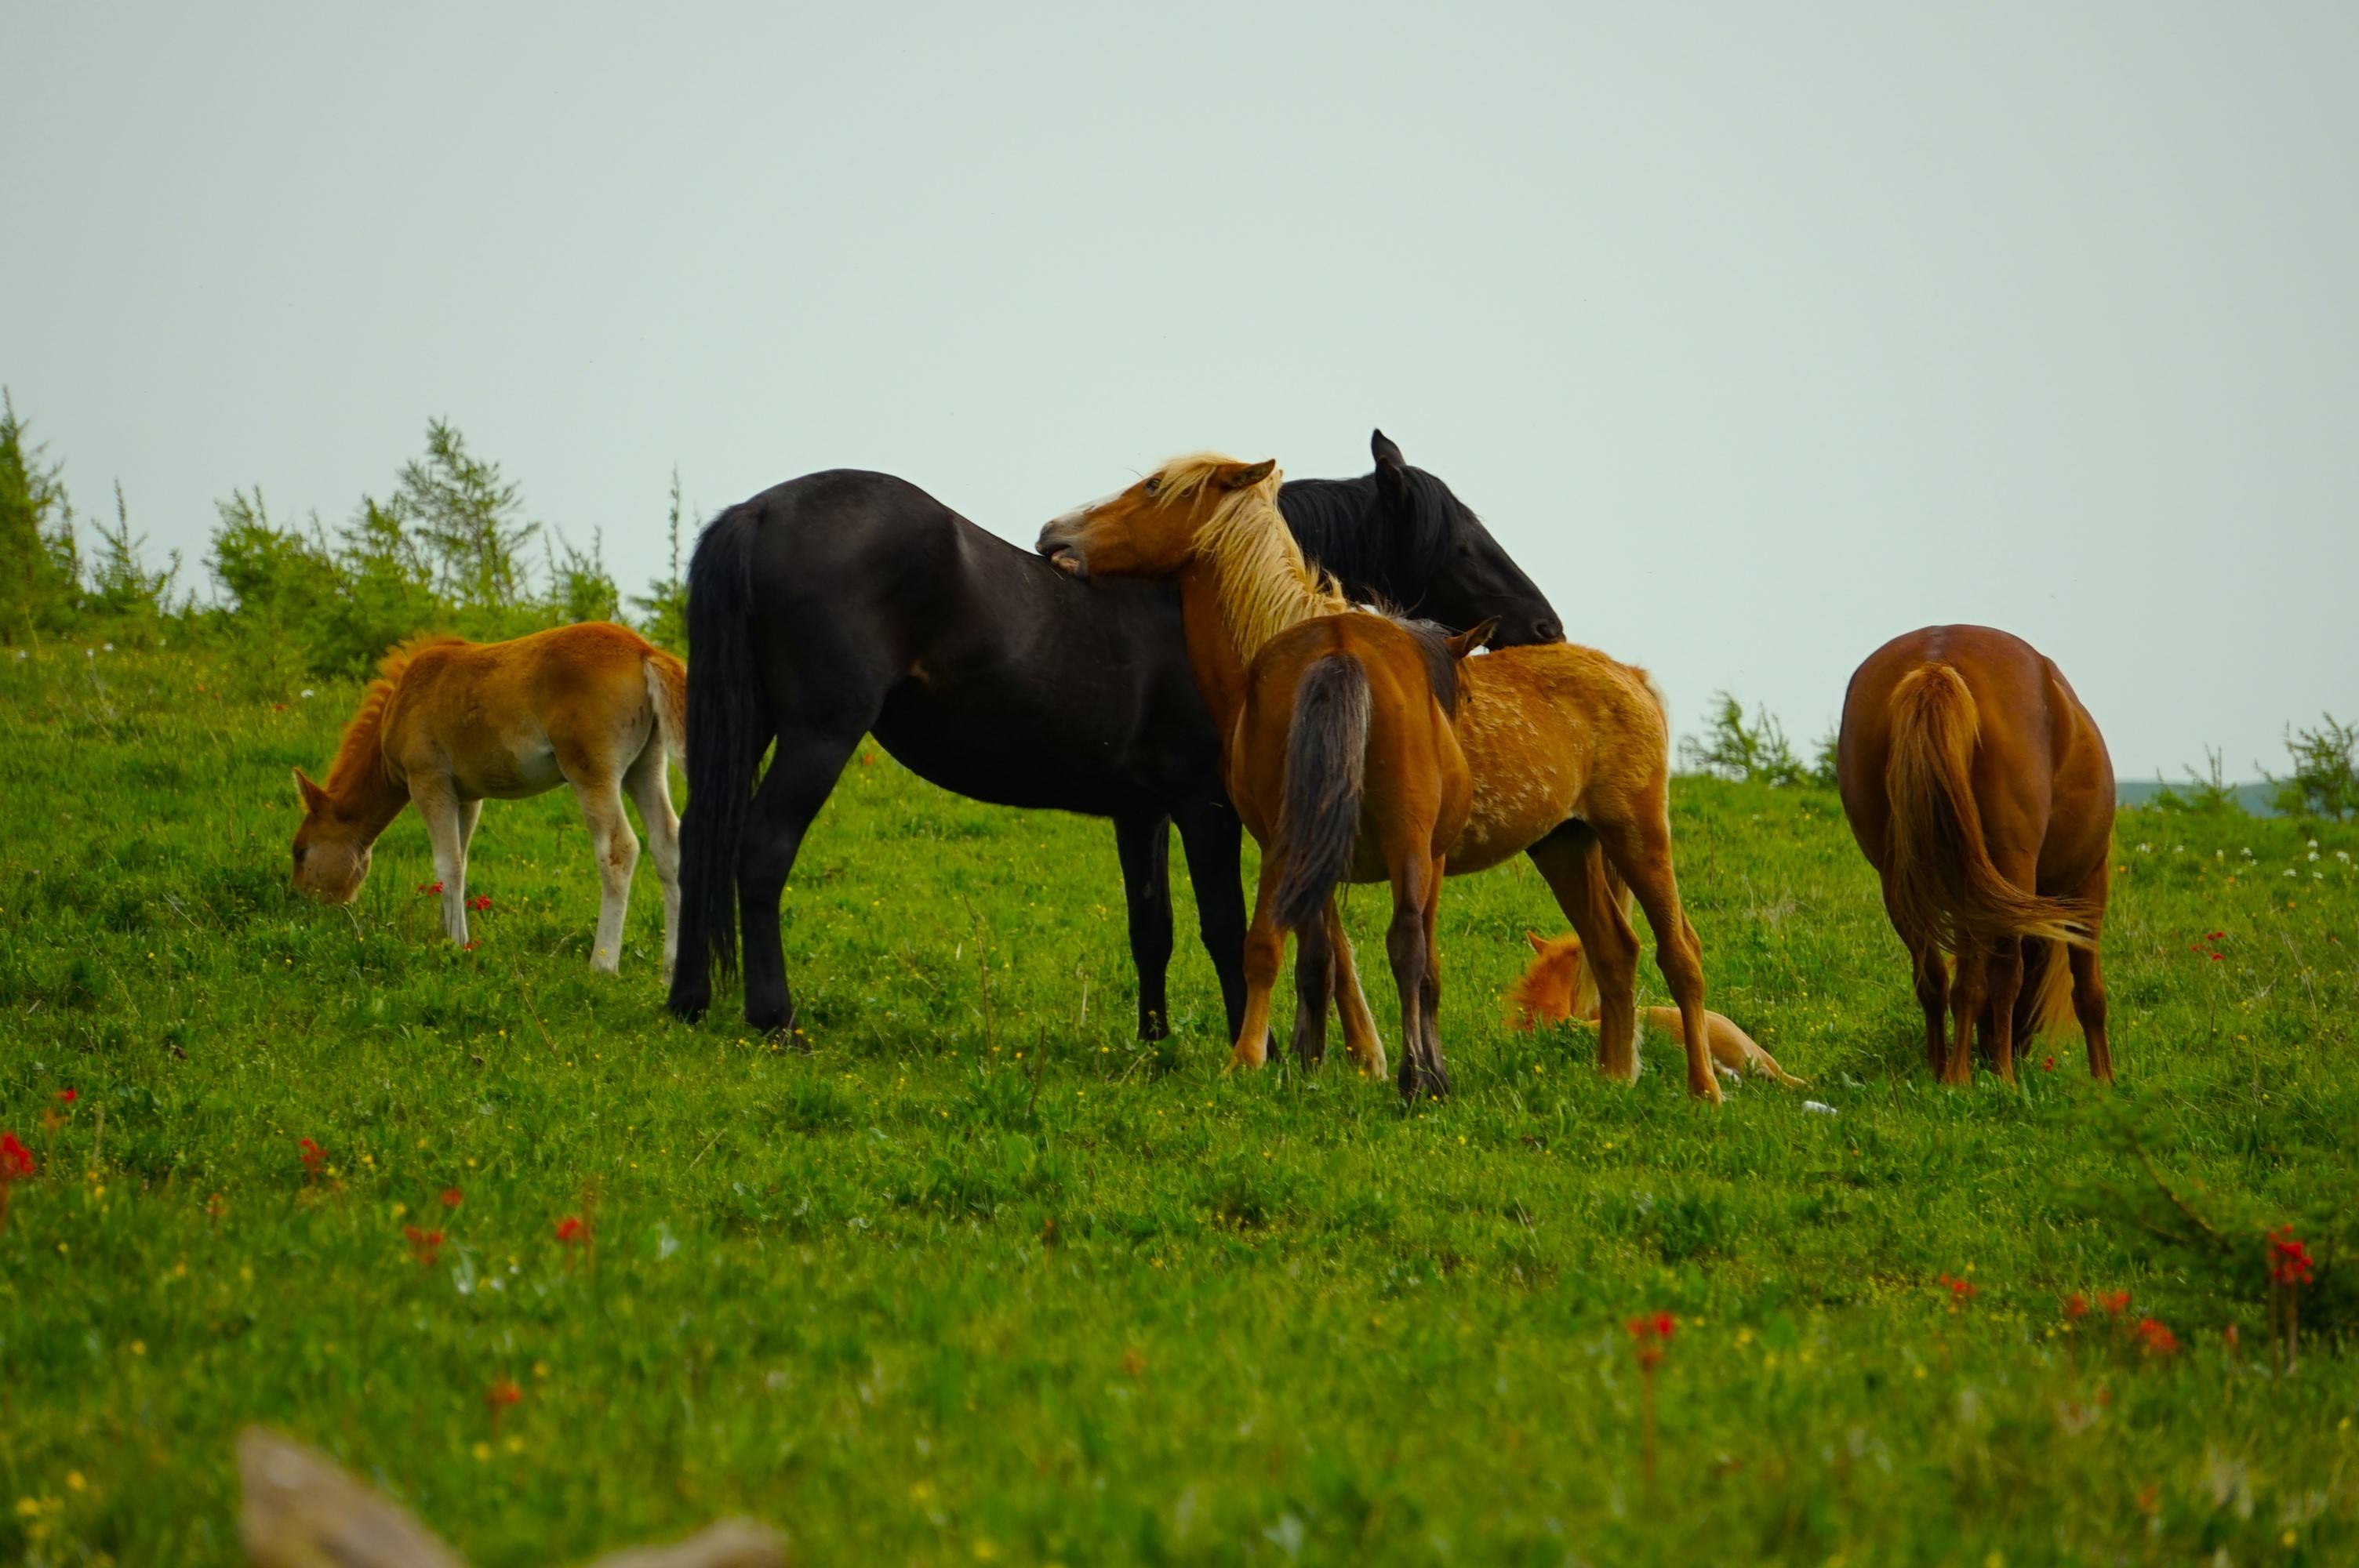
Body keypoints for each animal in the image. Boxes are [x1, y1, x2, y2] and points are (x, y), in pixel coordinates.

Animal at [289, 622, 689, 967]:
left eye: (300, 851)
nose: (300, 903)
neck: (404, 699)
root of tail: (644, 650)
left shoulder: (428, 781)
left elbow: (446, 863)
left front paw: (455, 943)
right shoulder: (467, 796)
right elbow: (460, 862)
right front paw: (452, 936)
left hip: (592, 772)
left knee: (619, 849)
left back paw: (603, 964)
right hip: (645, 767)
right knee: (667, 845)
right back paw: (670, 967)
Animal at [674, 429, 1557, 1037]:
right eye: (1462, 540)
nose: (1544, 625)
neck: (1208, 608)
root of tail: (756, 512)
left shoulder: (1140, 812)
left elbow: (1151, 929)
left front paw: (1154, 1040)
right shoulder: (1205, 810)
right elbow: (1222, 925)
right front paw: (1250, 1044)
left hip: (749, 724)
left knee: (699, 842)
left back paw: (688, 999)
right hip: (819, 734)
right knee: (760, 850)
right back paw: (775, 1015)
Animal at [1042, 452, 1726, 1098]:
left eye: (1153, 487)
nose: (1054, 535)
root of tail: (1628, 675)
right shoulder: (1310, 850)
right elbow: (1315, 955)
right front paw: (1307, 1064)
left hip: (1636, 838)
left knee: (1680, 953)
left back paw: (1702, 1088)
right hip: (1566, 846)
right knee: (1614, 953)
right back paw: (1613, 1077)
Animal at [1830, 617, 2114, 1084]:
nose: (2012, 1047)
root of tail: (1938, 662)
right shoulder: (2088, 879)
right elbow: (2089, 991)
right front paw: (2104, 1080)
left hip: (1905, 882)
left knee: (1934, 977)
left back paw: (1945, 1071)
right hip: (2008, 868)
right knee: (2004, 974)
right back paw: (1997, 1078)